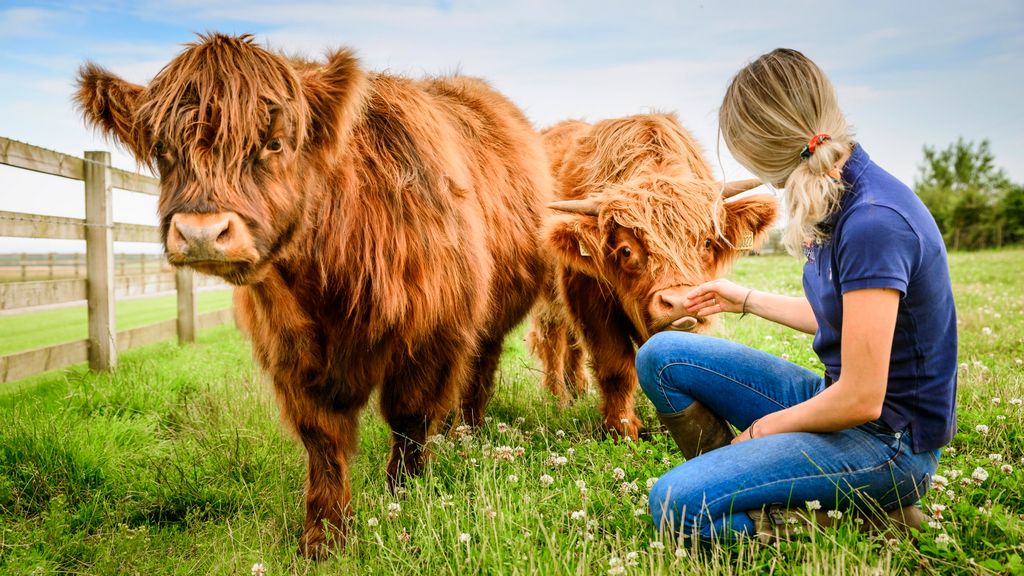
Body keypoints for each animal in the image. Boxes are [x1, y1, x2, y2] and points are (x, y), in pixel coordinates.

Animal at [528, 113, 774, 434]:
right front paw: (621, 429)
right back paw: (557, 396)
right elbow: (616, 367)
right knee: (552, 339)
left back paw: (577, 388)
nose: (681, 302)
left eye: (708, 242)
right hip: (549, 300)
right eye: (626, 250)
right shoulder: (589, 299)